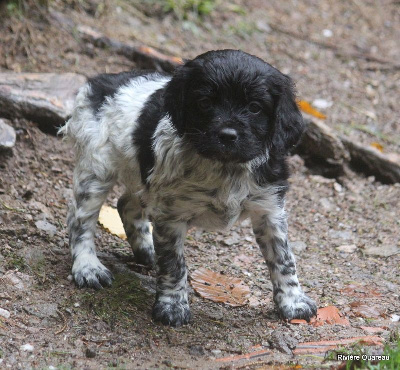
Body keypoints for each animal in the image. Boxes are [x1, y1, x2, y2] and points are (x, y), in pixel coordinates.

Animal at [60, 49, 316, 326]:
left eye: (255, 107)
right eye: (205, 102)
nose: (227, 135)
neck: (225, 167)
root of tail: (101, 82)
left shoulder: (269, 208)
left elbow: (284, 259)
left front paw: (293, 302)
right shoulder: (171, 215)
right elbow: (174, 264)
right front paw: (172, 306)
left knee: (125, 204)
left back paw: (146, 250)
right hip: (96, 169)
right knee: (80, 219)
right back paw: (88, 267)